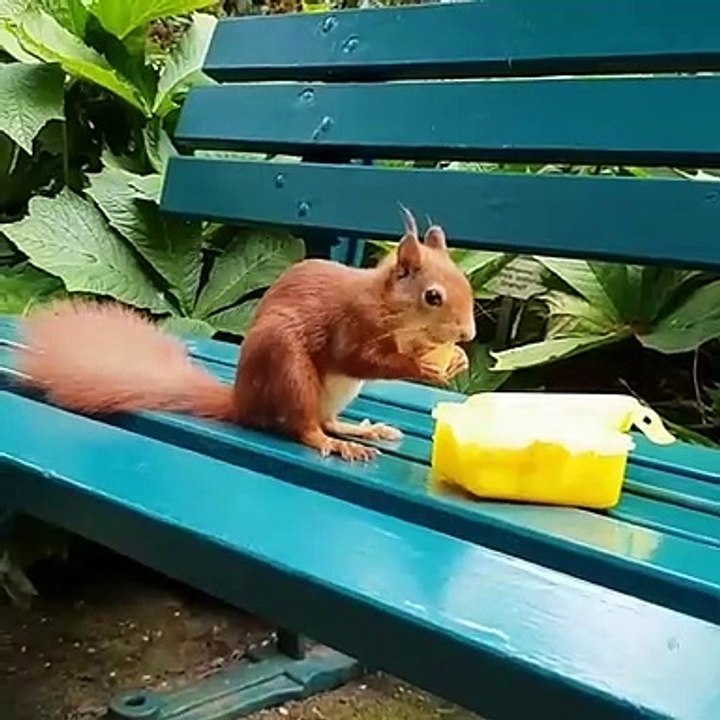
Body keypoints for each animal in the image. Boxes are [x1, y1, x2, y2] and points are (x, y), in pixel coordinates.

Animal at [17, 208, 476, 462]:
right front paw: (422, 366)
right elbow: (358, 357)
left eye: (465, 283)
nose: (469, 333)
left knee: (327, 421)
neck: (388, 307)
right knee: (306, 428)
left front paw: (454, 359)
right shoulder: (351, 322)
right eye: (433, 296)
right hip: (289, 370)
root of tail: (243, 402)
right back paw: (337, 444)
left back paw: (362, 430)